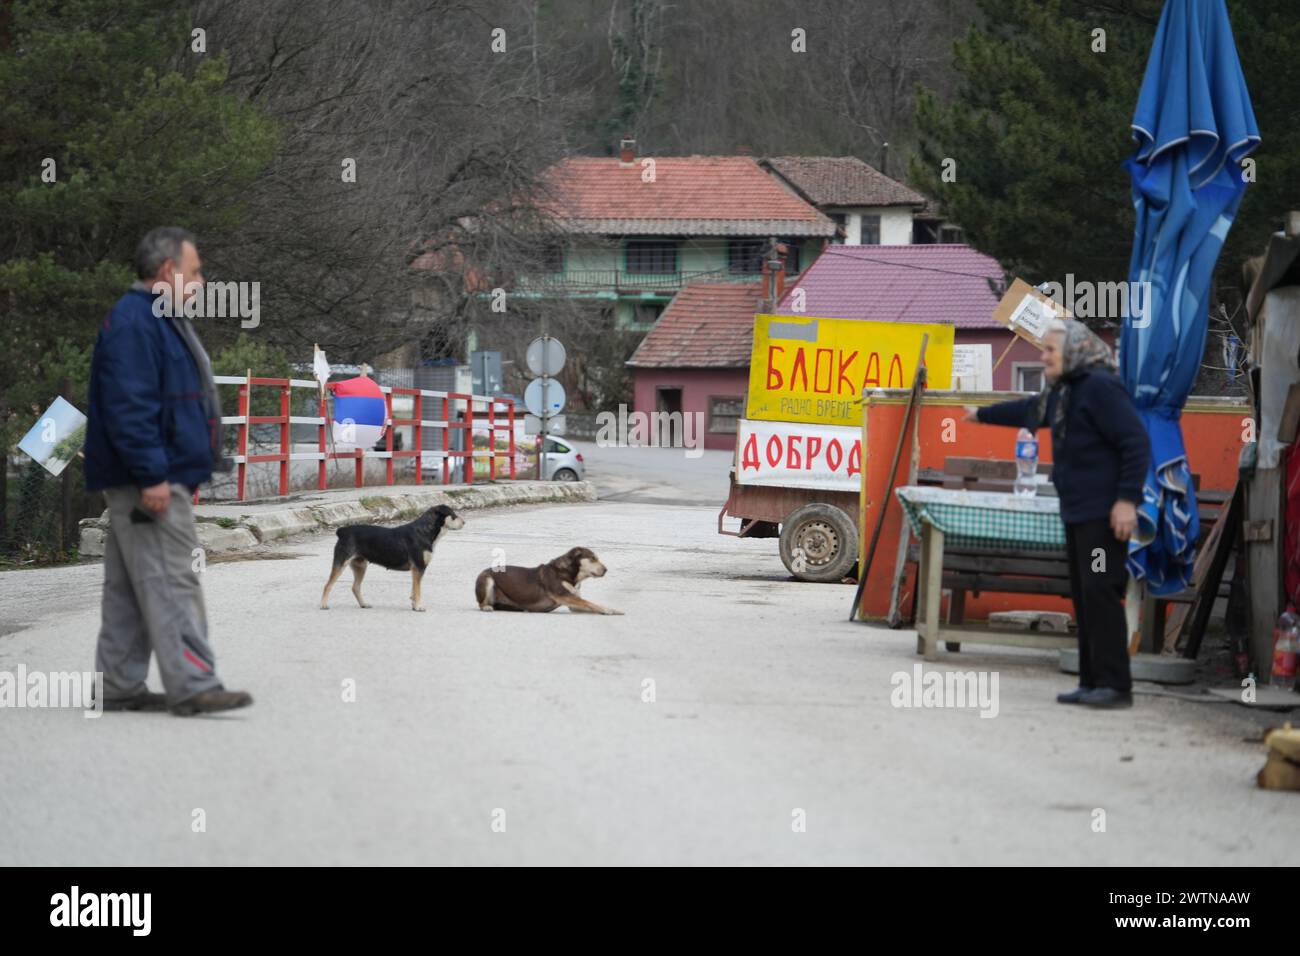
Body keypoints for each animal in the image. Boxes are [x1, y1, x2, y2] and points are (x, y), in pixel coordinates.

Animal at [318, 502, 462, 613]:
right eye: (453, 516)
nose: (464, 522)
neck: (424, 531)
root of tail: (342, 531)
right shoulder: (418, 567)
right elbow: (417, 590)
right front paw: (419, 607)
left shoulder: (416, 570)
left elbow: (413, 591)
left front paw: (414, 605)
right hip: (341, 562)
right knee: (328, 585)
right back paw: (323, 605)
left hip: (360, 566)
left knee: (355, 587)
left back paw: (364, 604)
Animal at [475, 548, 621, 616]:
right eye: (592, 559)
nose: (606, 570)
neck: (568, 573)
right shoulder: (564, 596)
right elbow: (590, 603)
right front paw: (608, 610)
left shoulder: (573, 603)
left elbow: (590, 605)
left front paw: (612, 609)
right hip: (487, 580)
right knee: (481, 604)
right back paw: (487, 607)